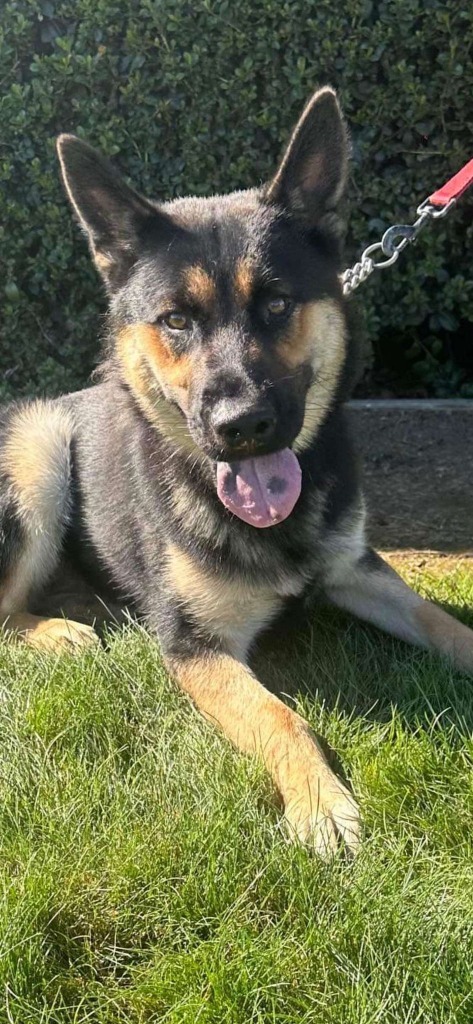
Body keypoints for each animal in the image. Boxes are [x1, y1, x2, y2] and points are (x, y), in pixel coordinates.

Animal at [0, 86, 473, 856]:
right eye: (175, 320)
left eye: (276, 303)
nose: (241, 426)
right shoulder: (196, 647)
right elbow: (282, 716)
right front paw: (320, 803)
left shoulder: (360, 569)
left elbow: (445, 625)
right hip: (38, 455)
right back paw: (56, 632)